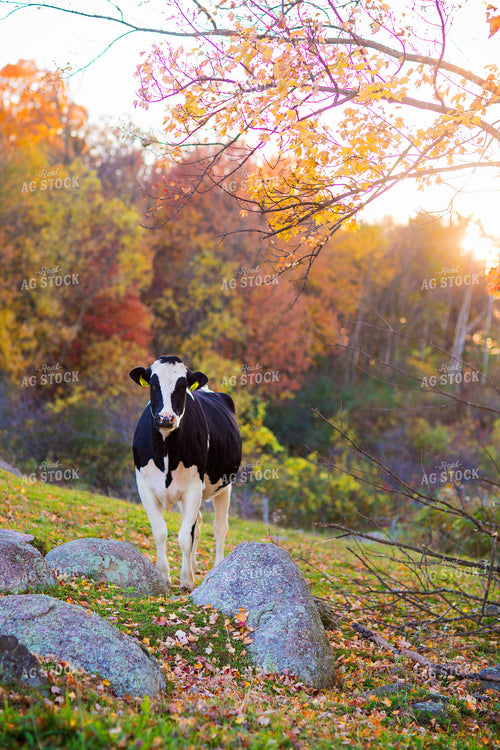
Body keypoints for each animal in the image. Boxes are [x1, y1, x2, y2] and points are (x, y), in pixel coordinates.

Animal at [129, 355, 242, 591]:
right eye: (153, 384)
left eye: (182, 387)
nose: (165, 418)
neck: (166, 452)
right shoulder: (143, 485)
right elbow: (160, 532)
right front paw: (163, 576)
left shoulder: (193, 488)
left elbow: (183, 537)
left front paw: (186, 580)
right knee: (197, 523)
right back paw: (194, 565)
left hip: (225, 485)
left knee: (219, 527)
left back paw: (214, 568)